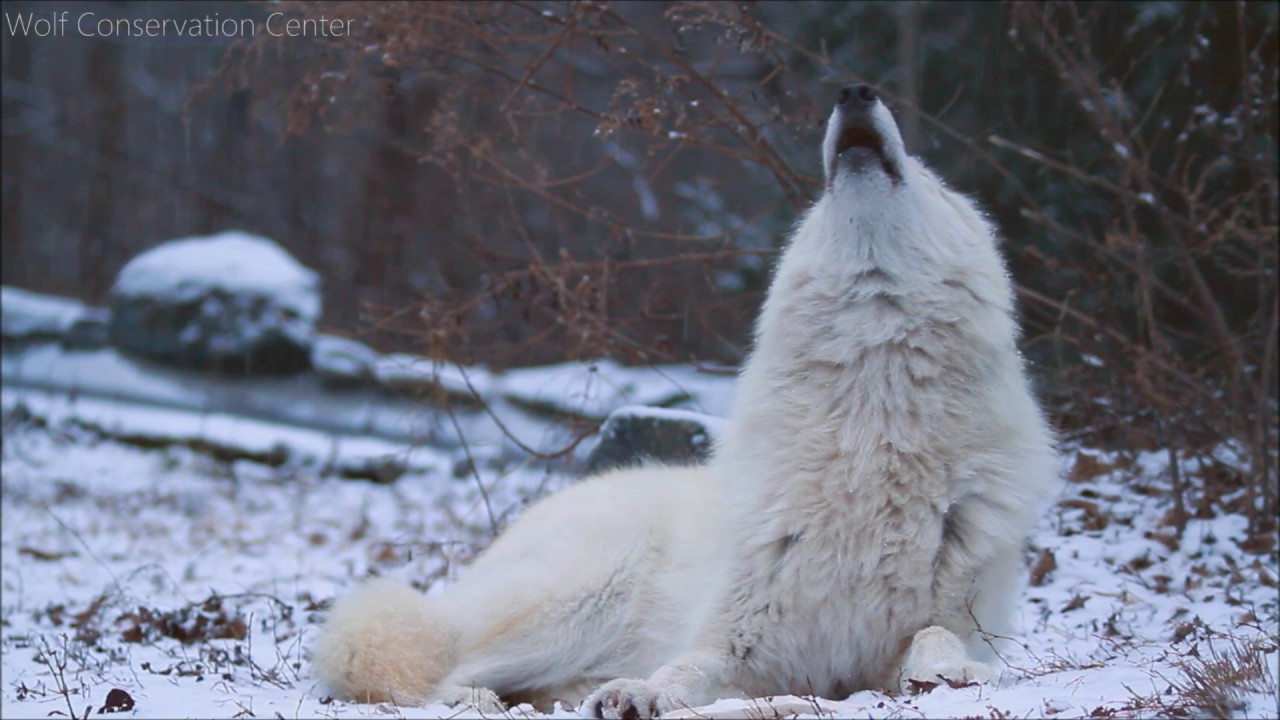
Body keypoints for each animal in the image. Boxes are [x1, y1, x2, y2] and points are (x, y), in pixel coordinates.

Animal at [313, 84, 1059, 718]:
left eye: (930, 180)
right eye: (818, 200)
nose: (853, 91)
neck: (869, 440)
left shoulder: (948, 625)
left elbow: (938, 638)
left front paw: (947, 671)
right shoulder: (734, 642)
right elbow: (684, 668)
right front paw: (639, 695)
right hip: (582, 598)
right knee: (444, 677)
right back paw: (498, 700)